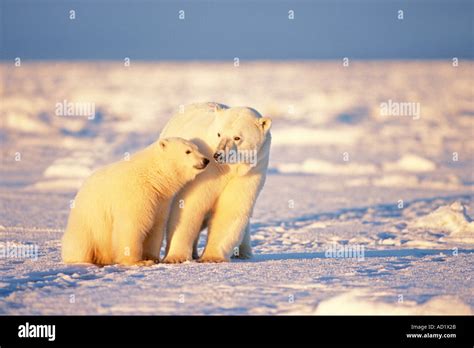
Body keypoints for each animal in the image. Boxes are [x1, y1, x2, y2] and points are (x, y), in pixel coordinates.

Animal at [60, 137, 208, 266]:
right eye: (187, 151)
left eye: (197, 148)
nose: (205, 160)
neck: (152, 176)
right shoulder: (135, 194)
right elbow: (132, 225)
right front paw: (138, 262)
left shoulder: (159, 200)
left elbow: (156, 227)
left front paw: (152, 258)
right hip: (87, 225)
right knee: (81, 246)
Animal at [160, 102, 272, 262]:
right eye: (219, 134)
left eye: (237, 137)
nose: (218, 155)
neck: (228, 168)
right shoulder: (206, 172)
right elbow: (190, 206)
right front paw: (175, 257)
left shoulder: (252, 169)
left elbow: (232, 208)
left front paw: (211, 257)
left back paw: (243, 253)